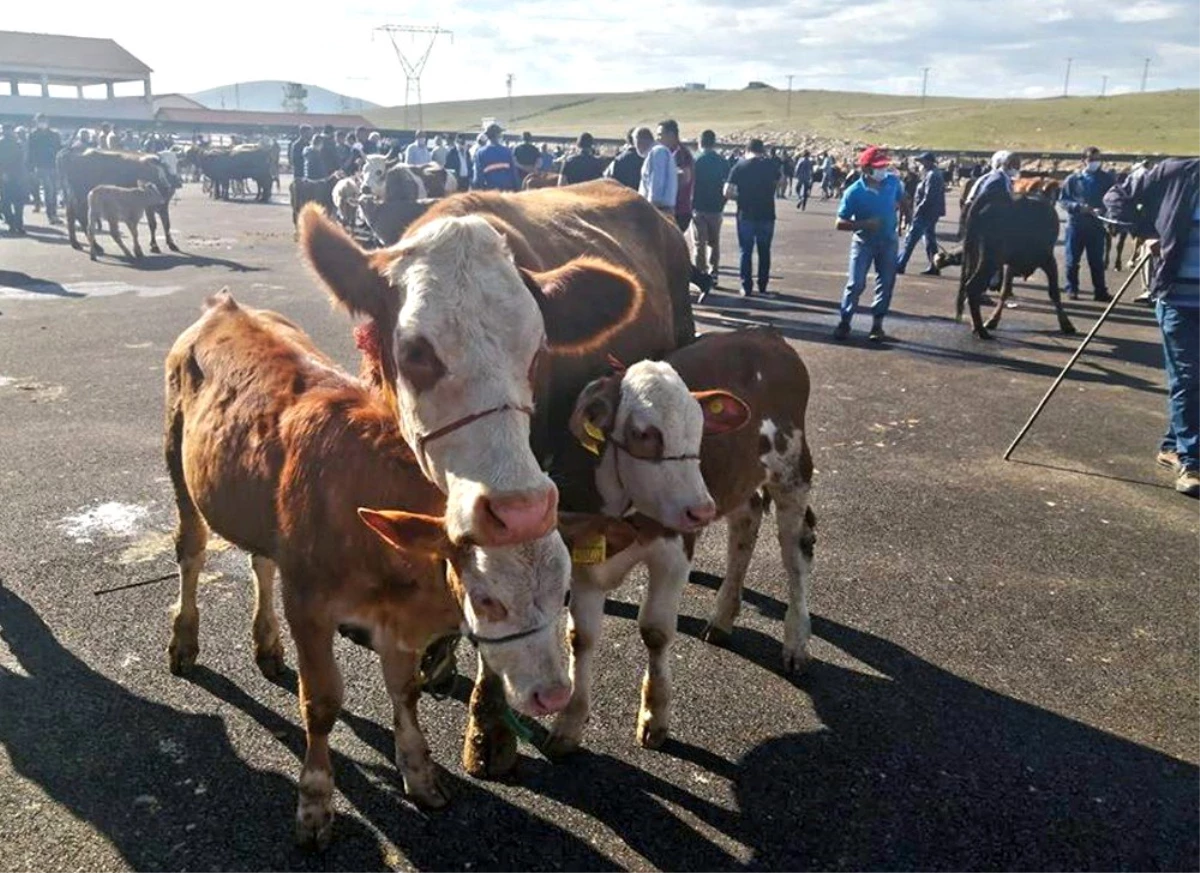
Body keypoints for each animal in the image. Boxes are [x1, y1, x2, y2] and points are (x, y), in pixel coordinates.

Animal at [547, 330, 816, 753]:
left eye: (700, 432)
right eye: (643, 434)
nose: (700, 510)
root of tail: (765, 333)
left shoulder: (675, 550)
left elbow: (655, 631)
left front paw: (654, 718)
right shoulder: (586, 557)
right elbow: (581, 637)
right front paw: (569, 723)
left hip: (792, 471)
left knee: (796, 553)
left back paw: (796, 642)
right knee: (746, 525)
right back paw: (722, 617)